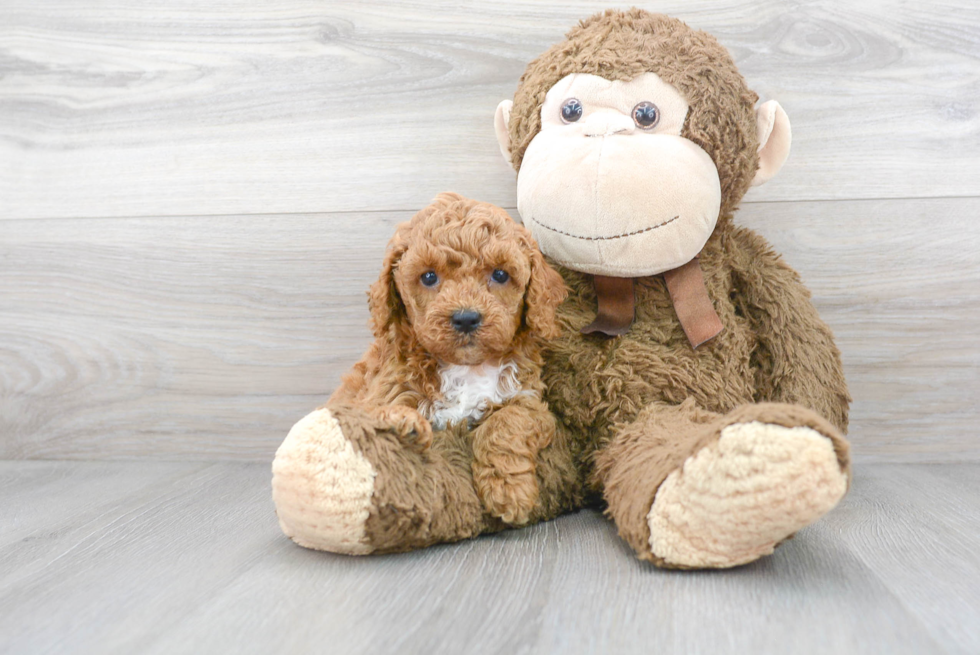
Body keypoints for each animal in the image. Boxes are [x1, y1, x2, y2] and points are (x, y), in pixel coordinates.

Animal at [330, 192, 568, 524]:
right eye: (429, 276)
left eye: (500, 274)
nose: (466, 318)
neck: (466, 368)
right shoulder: (378, 391)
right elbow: (375, 413)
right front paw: (402, 423)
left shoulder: (530, 401)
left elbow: (506, 422)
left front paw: (509, 491)